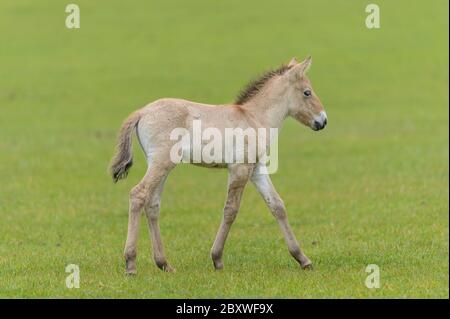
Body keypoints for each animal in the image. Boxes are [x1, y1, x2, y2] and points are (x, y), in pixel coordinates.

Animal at [109, 57, 326, 276]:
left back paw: (164, 264)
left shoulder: (257, 170)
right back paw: (131, 264)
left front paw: (303, 259)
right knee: (138, 194)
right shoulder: (240, 169)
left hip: (161, 166)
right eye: (307, 92)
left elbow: (277, 206)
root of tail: (142, 112)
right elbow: (231, 210)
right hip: (161, 164)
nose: (323, 120)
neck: (254, 118)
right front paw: (217, 259)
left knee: (152, 204)